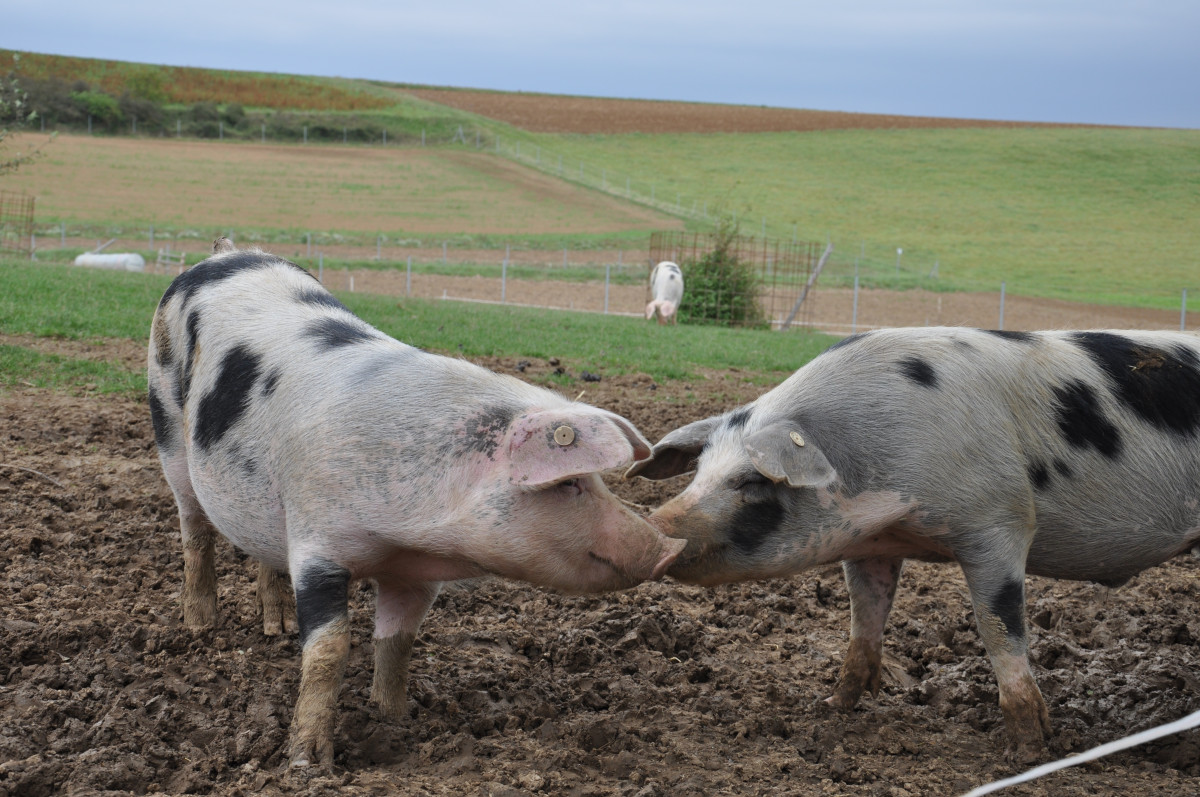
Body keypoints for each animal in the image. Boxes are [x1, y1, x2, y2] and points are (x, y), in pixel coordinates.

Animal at [147, 240, 686, 768]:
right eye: (571, 485)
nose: (670, 548)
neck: (407, 538)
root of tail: (226, 253)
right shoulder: (317, 544)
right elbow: (329, 649)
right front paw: (308, 762)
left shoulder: (413, 574)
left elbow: (398, 641)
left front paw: (396, 719)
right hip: (168, 421)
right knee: (194, 528)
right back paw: (199, 625)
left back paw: (276, 628)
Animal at [624, 326, 1200, 758]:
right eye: (699, 471)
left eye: (751, 481)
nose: (657, 526)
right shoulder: (869, 544)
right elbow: (863, 624)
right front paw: (832, 709)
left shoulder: (1000, 521)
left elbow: (1000, 633)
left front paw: (1029, 751)